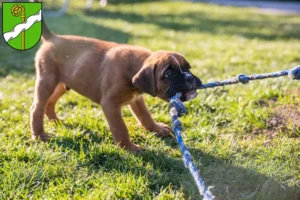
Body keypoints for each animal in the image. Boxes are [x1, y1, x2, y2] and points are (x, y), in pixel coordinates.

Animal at [30, 20, 202, 152]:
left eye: (188, 68)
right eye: (169, 73)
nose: (189, 78)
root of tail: (53, 38)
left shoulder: (136, 99)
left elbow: (145, 116)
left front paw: (156, 129)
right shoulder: (110, 104)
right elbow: (121, 128)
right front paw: (128, 147)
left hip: (62, 85)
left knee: (50, 102)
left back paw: (54, 121)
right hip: (47, 82)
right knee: (36, 107)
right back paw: (40, 135)